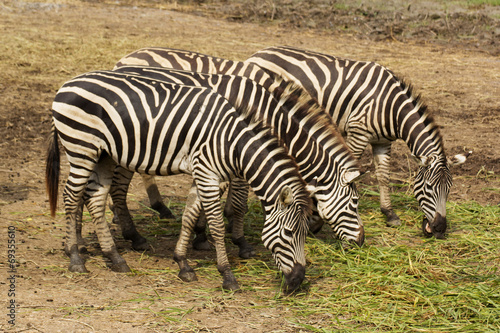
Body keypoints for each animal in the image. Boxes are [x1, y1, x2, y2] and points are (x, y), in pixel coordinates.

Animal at [47, 70, 312, 290]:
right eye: (289, 233)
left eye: (304, 233)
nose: (298, 281)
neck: (231, 142)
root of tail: (67, 84)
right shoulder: (208, 174)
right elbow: (217, 226)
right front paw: (227, 275)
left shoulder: (202, 174)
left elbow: (189, 216)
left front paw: (183, 263)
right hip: (81, 147)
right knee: (71, 196)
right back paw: (75, 257)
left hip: (104, 155)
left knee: (95, 199)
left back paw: (115, 257)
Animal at [106, 64, 364, 256]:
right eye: (354, 203)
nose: (361, 241)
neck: (272, 116)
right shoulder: (240, 154)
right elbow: (238, 203)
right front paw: (240, 242)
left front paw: (201, 234)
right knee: (118, 188)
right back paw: (134, 236)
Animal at [244, 45, 470, 237]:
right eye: (429, 187)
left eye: (449, 189)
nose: (439, 228)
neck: (393, 108)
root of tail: (257, 54)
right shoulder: (358, 132)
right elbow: (343, 175)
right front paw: (317, 219)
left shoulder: (382, 142)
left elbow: (383, 177)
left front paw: (389, 214)